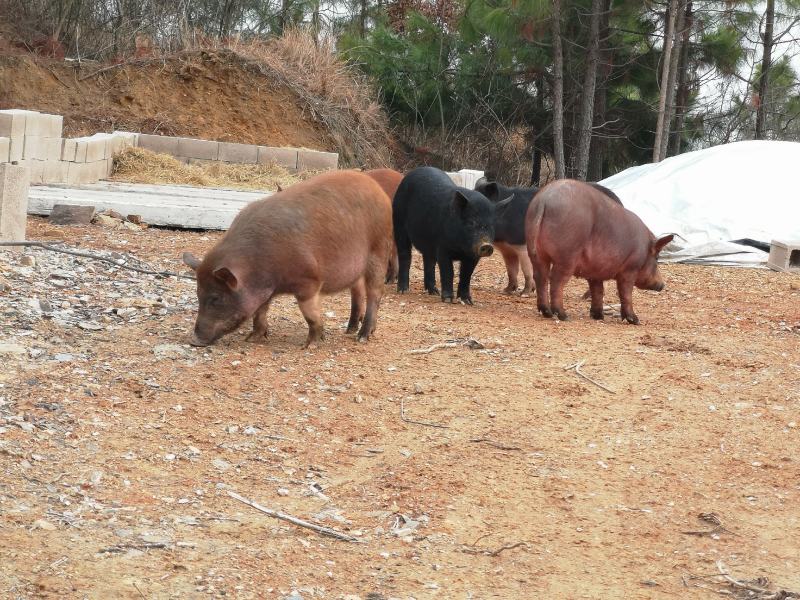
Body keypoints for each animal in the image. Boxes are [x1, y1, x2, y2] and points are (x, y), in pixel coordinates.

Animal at [182, 169, 394, 346]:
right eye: (198, 294)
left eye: (216, 297)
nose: (194, 341)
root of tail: (378, 190)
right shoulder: (265, 291)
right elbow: (260, 312)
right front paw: (252, 339)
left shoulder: (309, 281)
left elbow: (310, 314)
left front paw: (310, 345)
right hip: (357, 268)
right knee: (357, 292)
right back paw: (350, 330)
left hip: (379, 249)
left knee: (375, 293)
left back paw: (362, 337)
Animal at [524, 179, 676, 324]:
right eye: (657, 258)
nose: (662, 285)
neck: (644, 250)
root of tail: (544, 199)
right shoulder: (630, 269)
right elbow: (625, 293)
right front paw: (635, 321)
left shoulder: (595, 272)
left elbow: (598, 291)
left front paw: (598, 316)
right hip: (567, 254)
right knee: (556, 280)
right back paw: (564, 316)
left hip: (535, 252)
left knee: (540, 277)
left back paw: (547, 312)